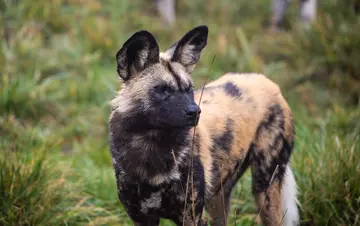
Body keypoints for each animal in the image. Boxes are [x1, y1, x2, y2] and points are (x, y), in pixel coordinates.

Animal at [108, 25, 300, 225]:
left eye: (188, 89)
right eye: (163, 90)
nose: (195, 111)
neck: (151, 147)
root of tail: (267, 81)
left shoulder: (192, 215)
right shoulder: (142, 219)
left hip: (264, 187)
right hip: (219, 196)